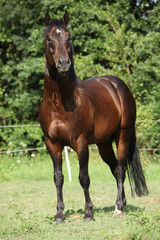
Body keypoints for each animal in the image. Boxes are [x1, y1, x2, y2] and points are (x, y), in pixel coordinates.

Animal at [38, 10, 148, 221]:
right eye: (49, 38)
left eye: (69, 37)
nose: (63, 63)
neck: (59, 102)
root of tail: (117, 85)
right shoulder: (52, 144)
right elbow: (58, 178)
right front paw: (59, 214)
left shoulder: (80, 143)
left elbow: (84, 177)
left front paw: (88, 212)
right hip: (103, 143)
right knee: (114, 168)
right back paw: (122, 203)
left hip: (122, 136)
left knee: (120, 169)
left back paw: (118, 208)